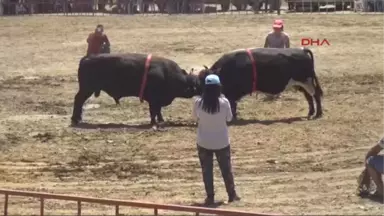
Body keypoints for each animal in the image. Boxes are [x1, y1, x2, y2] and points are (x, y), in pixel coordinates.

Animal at [70, 53, 200, 125]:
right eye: (196, 83)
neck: (167, 73)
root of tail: (87, 58)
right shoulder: (153, 99)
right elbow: (154, 111)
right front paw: (154, 122)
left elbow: (158, 111)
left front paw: (161, 120)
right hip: (86, 89)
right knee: (78, 100)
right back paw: (75, 119)